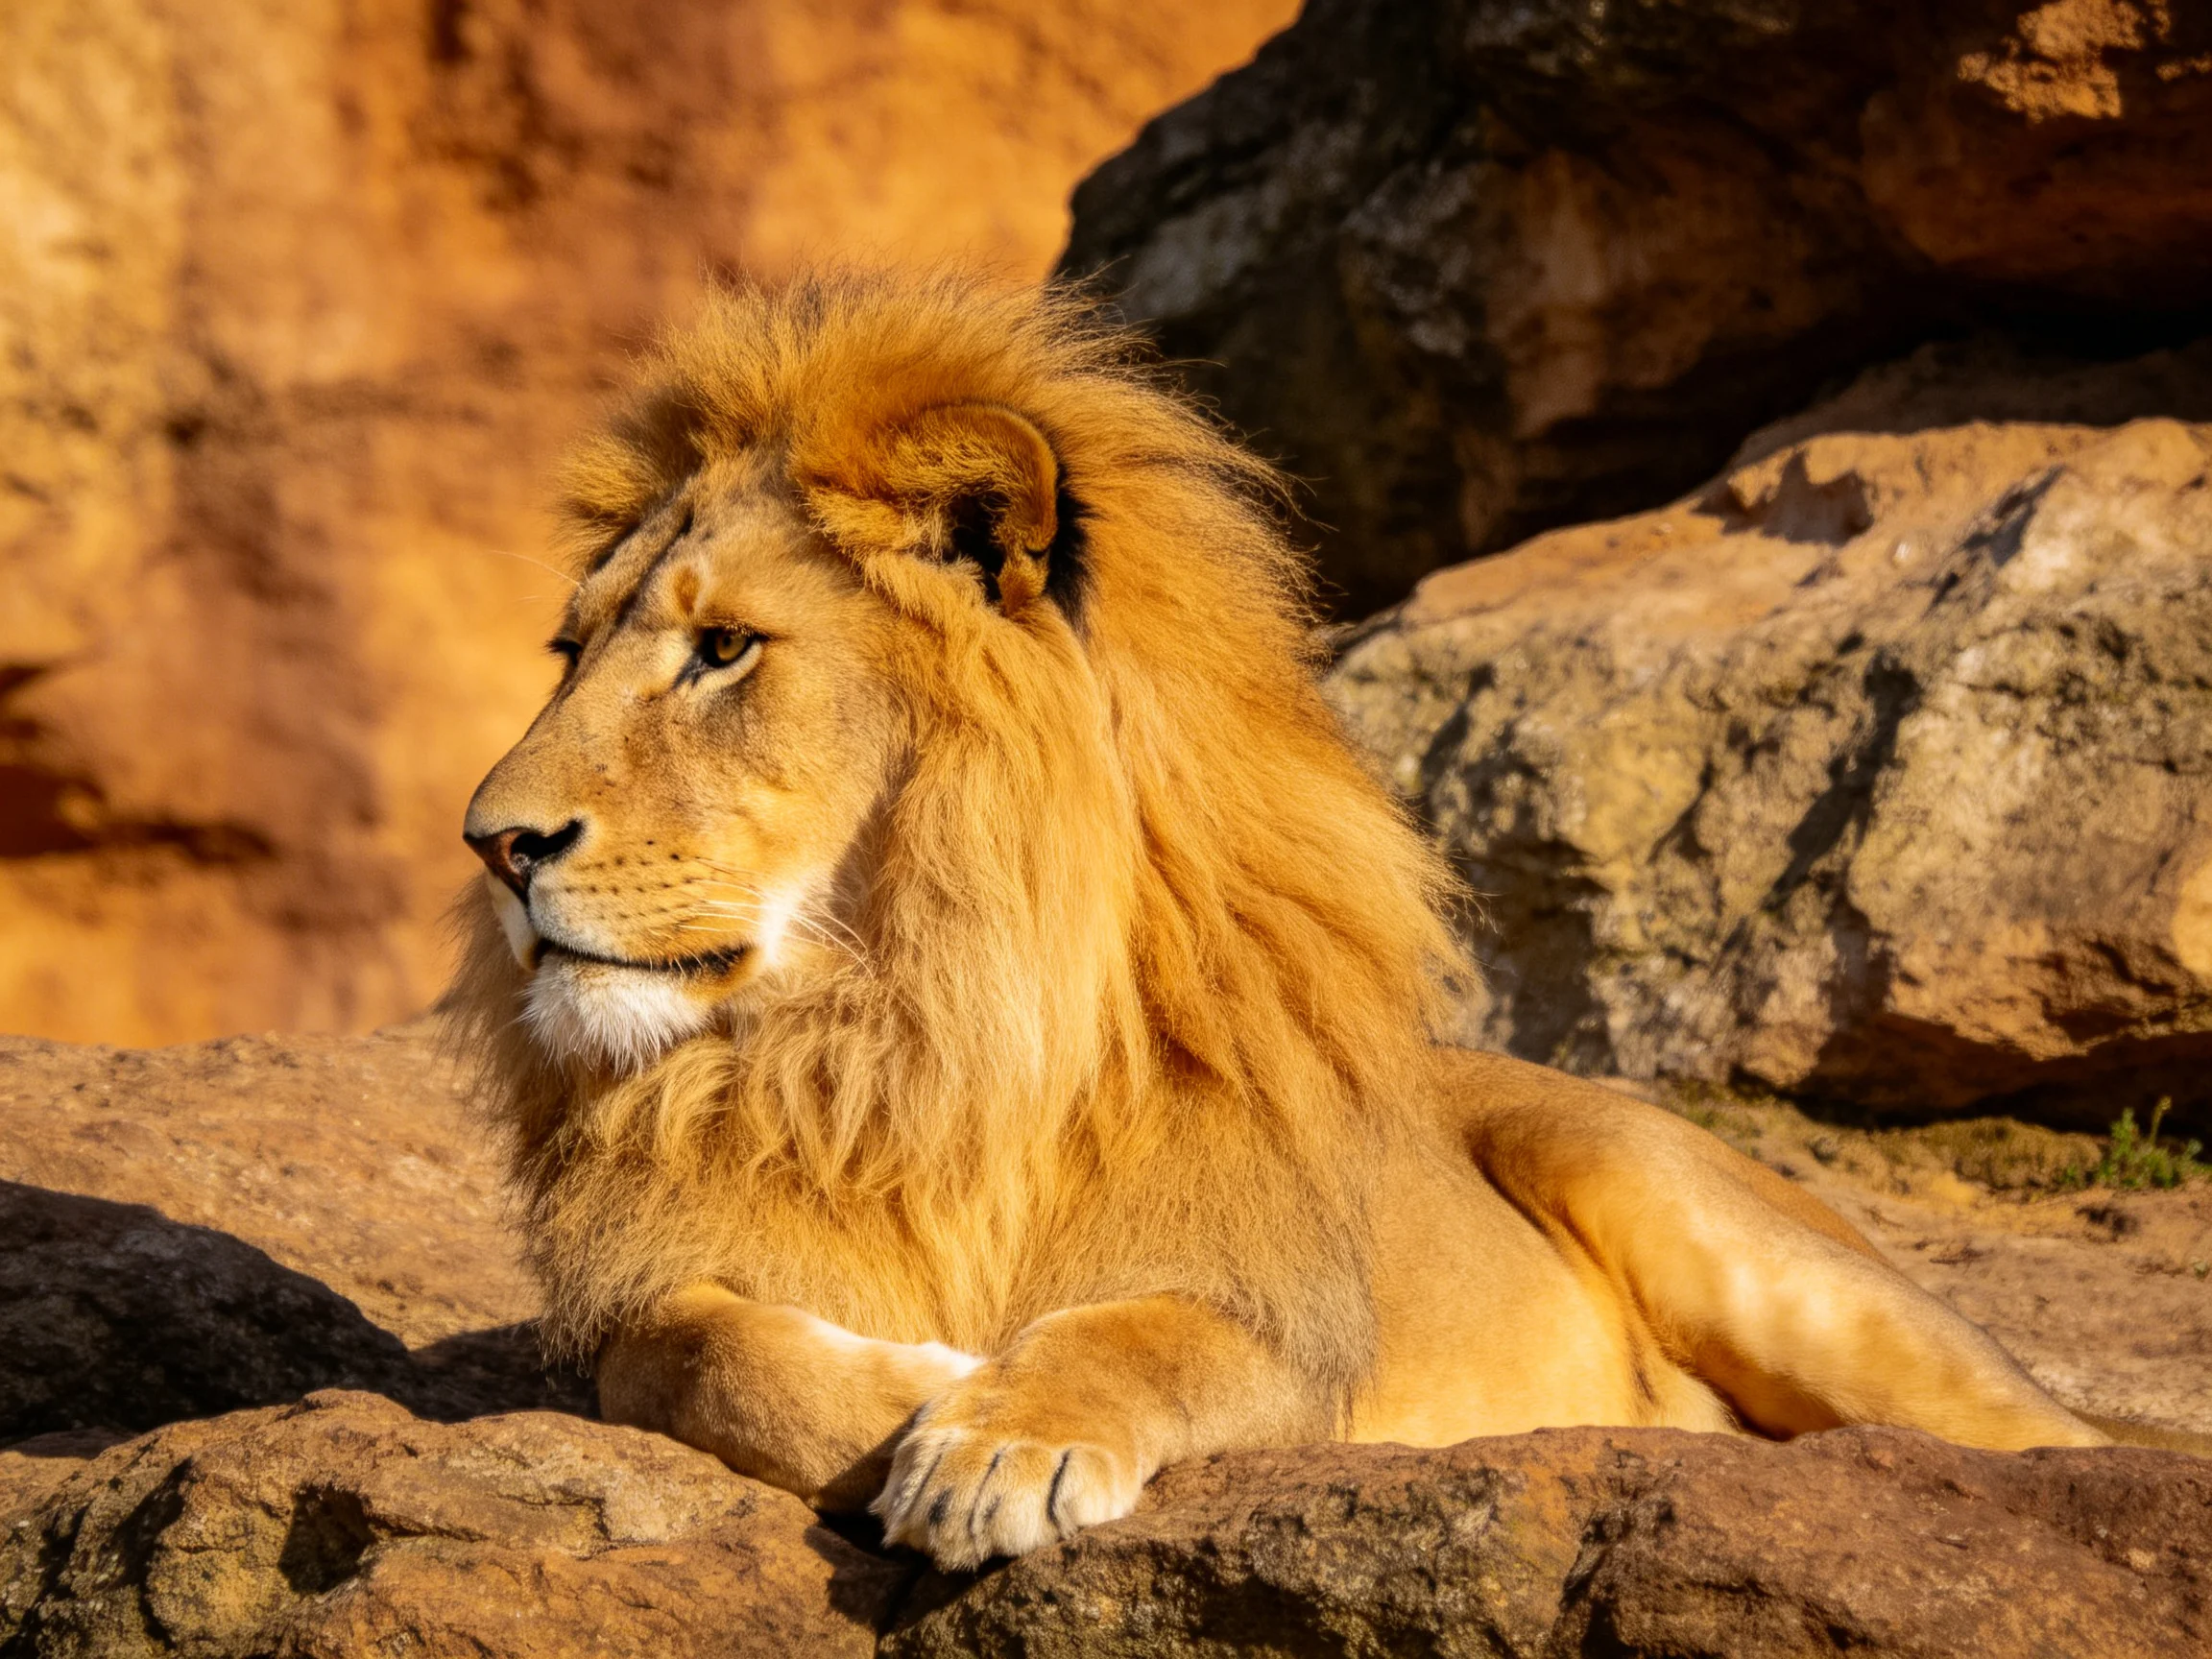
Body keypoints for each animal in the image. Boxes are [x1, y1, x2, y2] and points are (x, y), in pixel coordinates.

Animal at [448, 268, 2132, 1572]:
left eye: (725, 648)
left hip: (1709, 1217)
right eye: (569, 651)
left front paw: (996, 1441)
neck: (909, 1026)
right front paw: (911, 1395)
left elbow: (1145, 1332)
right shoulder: (643, 1306)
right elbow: (691, 1348)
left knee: (2063, 1439)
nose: (494, 845)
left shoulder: (1295, 1335)